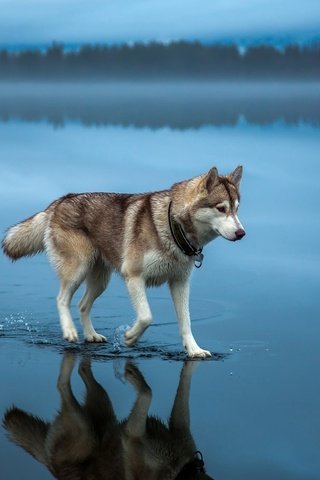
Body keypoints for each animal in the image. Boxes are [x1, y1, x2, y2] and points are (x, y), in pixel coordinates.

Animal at [1, 165, 245, 356]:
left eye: (236, 209)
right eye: (221, 208)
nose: (242, 233)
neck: (173, 227)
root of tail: (60, 200)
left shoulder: (180, 283)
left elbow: (186, 321)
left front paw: (194, 350)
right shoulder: (134, 276)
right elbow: (146, 317)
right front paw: (130, 337)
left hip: (100, 280)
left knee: (82, 305)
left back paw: (91, 335)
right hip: (78, 269)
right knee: (62, 299)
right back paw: (69, 331)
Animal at [3, 354, 215, 478]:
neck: (182, 470)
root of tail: (50, 466)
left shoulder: (179, 426)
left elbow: (184, 383)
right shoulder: (132, 436)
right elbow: (148, 392)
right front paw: (133, 376)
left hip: (103, 406)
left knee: (82, 370)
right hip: (85, 428)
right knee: (62, 385)